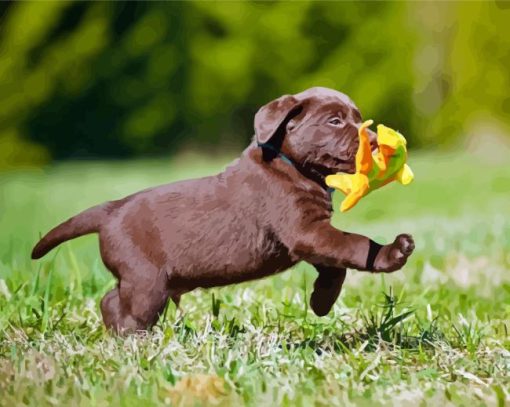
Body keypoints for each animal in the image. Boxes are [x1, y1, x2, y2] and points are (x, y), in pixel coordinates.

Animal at [30, 87, 414, 334]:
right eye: (334, 121)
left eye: (359, 120)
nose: (375, 143)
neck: (289, 164)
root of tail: (110, 210)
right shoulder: (305, 231)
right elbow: (355, 245)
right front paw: (393, 252)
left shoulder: (312, 236)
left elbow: (337, 266)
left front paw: (321, 302)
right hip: (146, 281)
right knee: (130, 311)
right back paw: (137, 342)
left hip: (141, 279)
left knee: (110, 299)